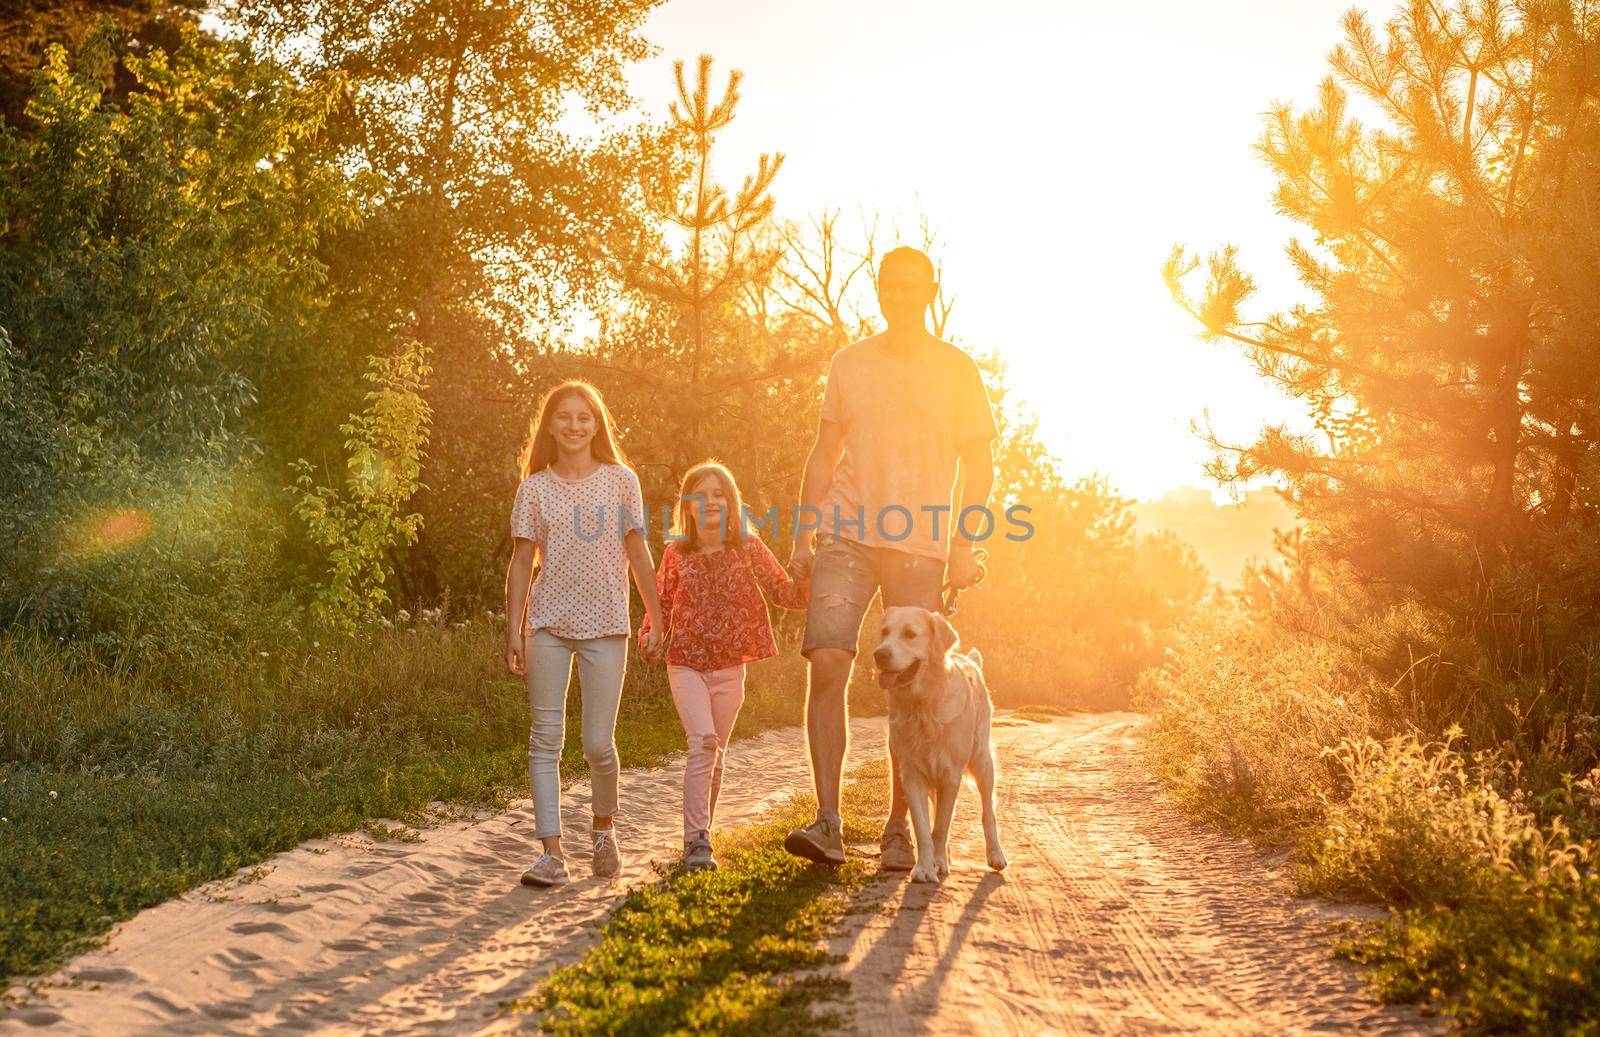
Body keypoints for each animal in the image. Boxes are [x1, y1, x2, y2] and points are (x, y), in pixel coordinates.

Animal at [870, 608, 1004, 883]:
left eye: (910, 634)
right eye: (885, 632)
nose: (880, 654)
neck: (922, 705)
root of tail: (970, 660)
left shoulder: (950, 776)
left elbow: (941, 826)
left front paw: (938, 862)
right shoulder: (912, 775)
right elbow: (924, 828)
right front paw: (924, 867)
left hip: (983, 762)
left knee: (988, 812)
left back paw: (995, 855)